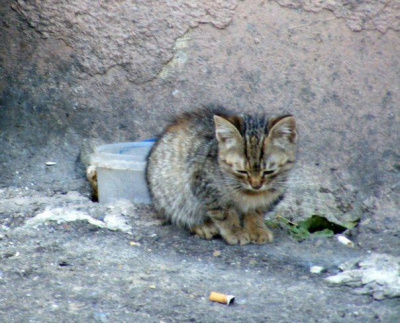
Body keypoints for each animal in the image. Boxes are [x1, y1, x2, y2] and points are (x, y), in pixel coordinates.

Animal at [147, 107, 296, 246]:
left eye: (269, 171)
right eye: (242, 171)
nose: (256, 185)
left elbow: (255, 212)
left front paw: (257, 229)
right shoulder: (204, 185)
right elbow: (225, 213)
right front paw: (235, 232)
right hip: (172, 194)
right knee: (182, 213)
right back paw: (203, 226)